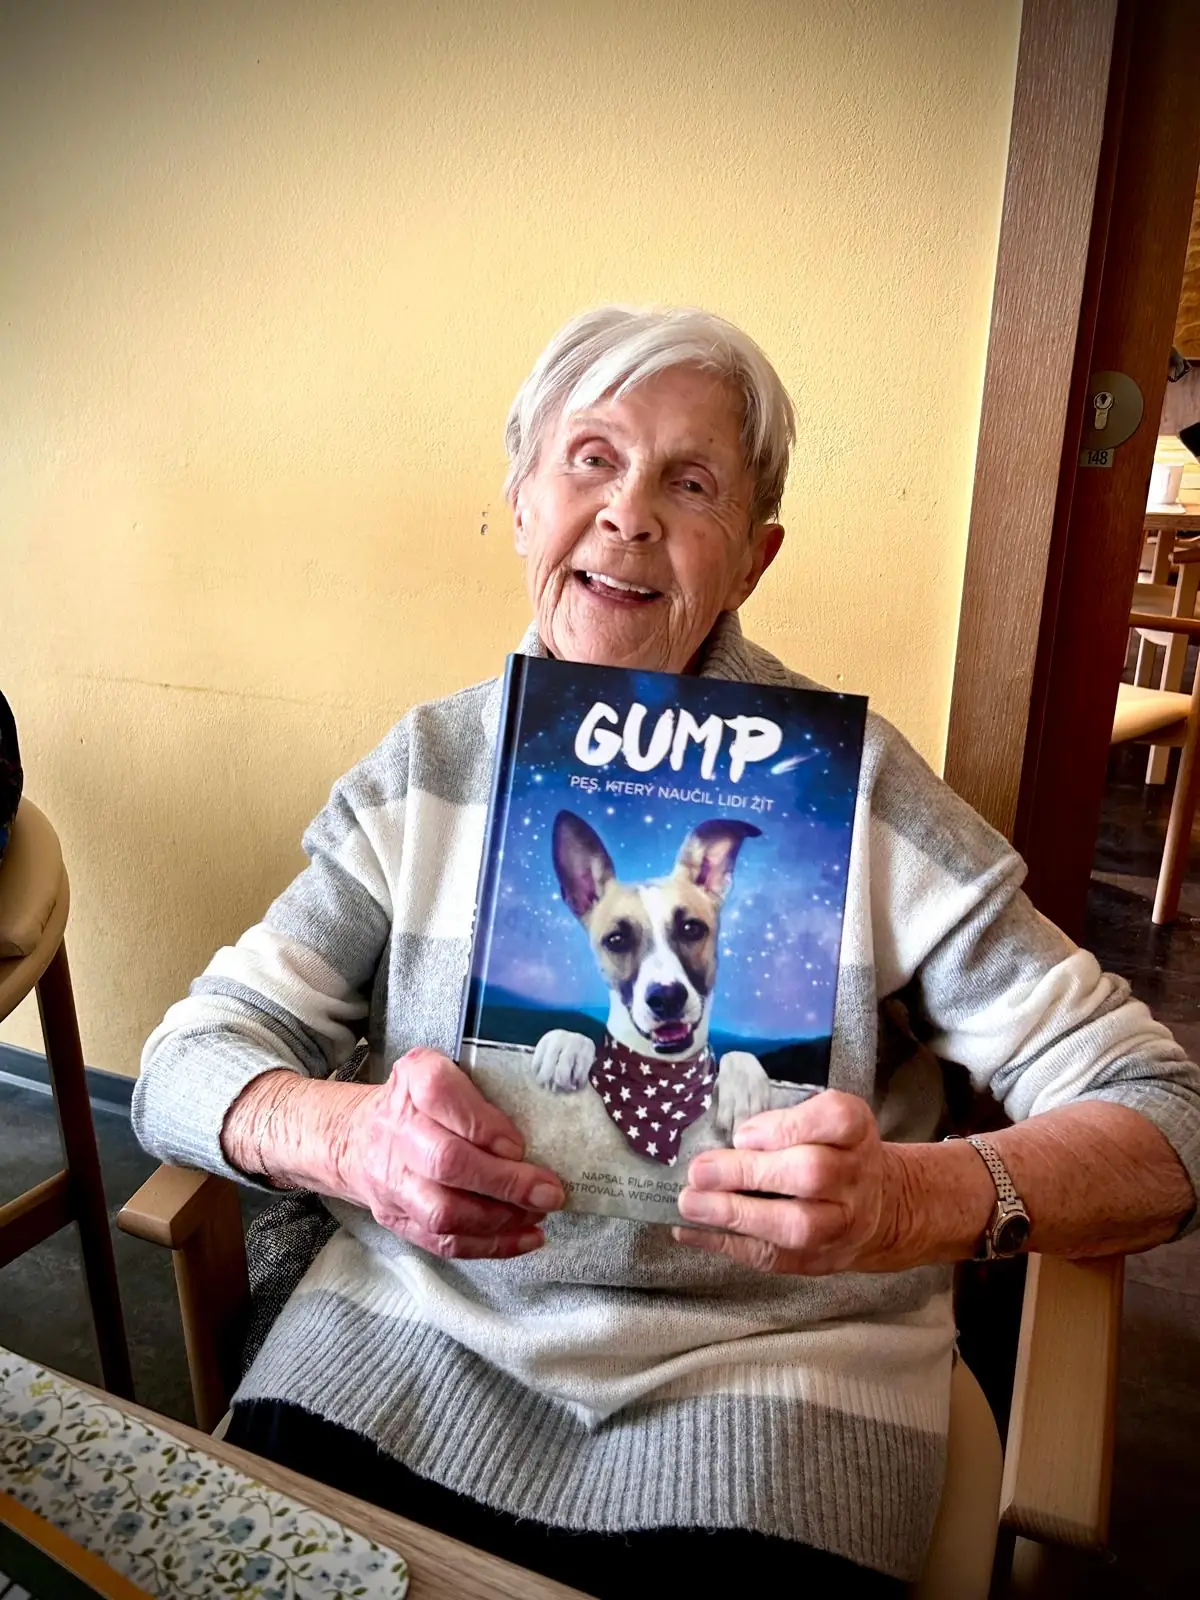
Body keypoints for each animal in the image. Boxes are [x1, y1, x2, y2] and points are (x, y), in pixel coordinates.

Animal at [531, 810, 782, 1163]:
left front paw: (743, 1086)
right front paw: (566, 1045)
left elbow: (737, 1056)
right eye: (616, 939)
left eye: (691, 928)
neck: (661, 1073)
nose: (667, 998)